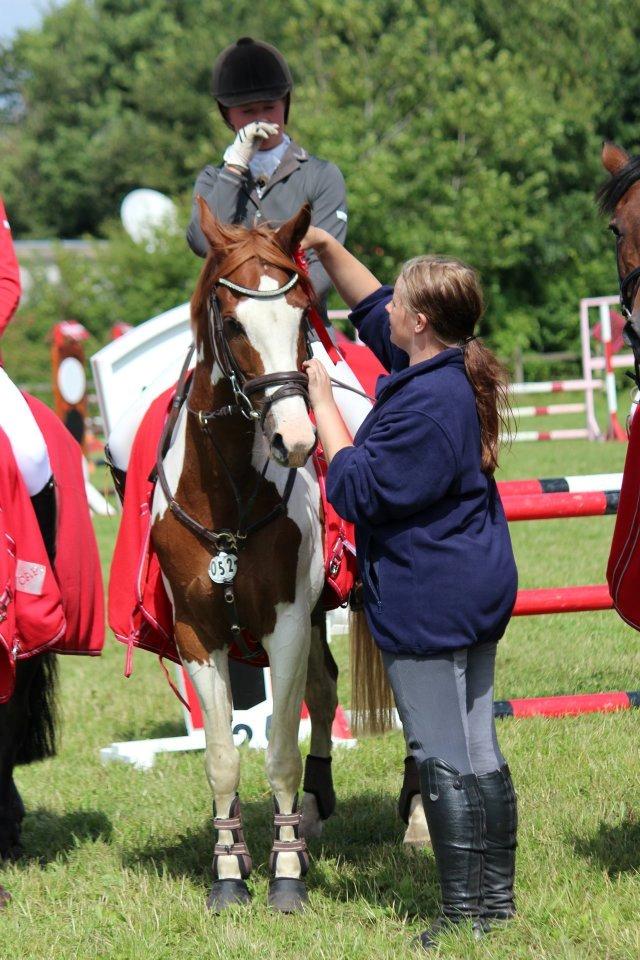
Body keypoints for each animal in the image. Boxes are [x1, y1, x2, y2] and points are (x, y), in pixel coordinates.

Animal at [151, 199, 340, 912]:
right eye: (233, 323)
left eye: (303, 318)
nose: (296, 439)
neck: (226, 495)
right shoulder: (196, 637)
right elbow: (221, 757)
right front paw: (229, 874)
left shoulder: (284, 623)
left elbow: (281, 749)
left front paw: (286, 877)